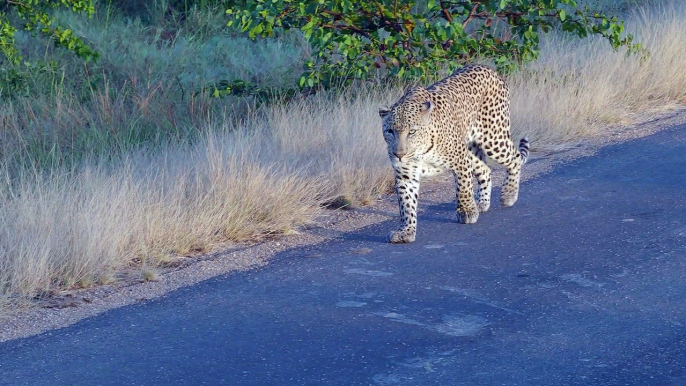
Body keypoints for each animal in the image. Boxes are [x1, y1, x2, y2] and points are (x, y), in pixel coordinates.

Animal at [376, 64, 532, 243]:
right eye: (390, 131)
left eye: (412, 132)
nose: (399, 154)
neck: (421, 150)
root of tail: (488, 68)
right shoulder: (405, 174)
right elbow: (406, 204)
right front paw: (406, 231)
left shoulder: (460, 160)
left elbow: (463, 188)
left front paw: (467, 211)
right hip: (472, 149)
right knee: (486, 170)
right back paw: (481, 203)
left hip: (493, 137)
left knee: (514, 159)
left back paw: (508, 194)